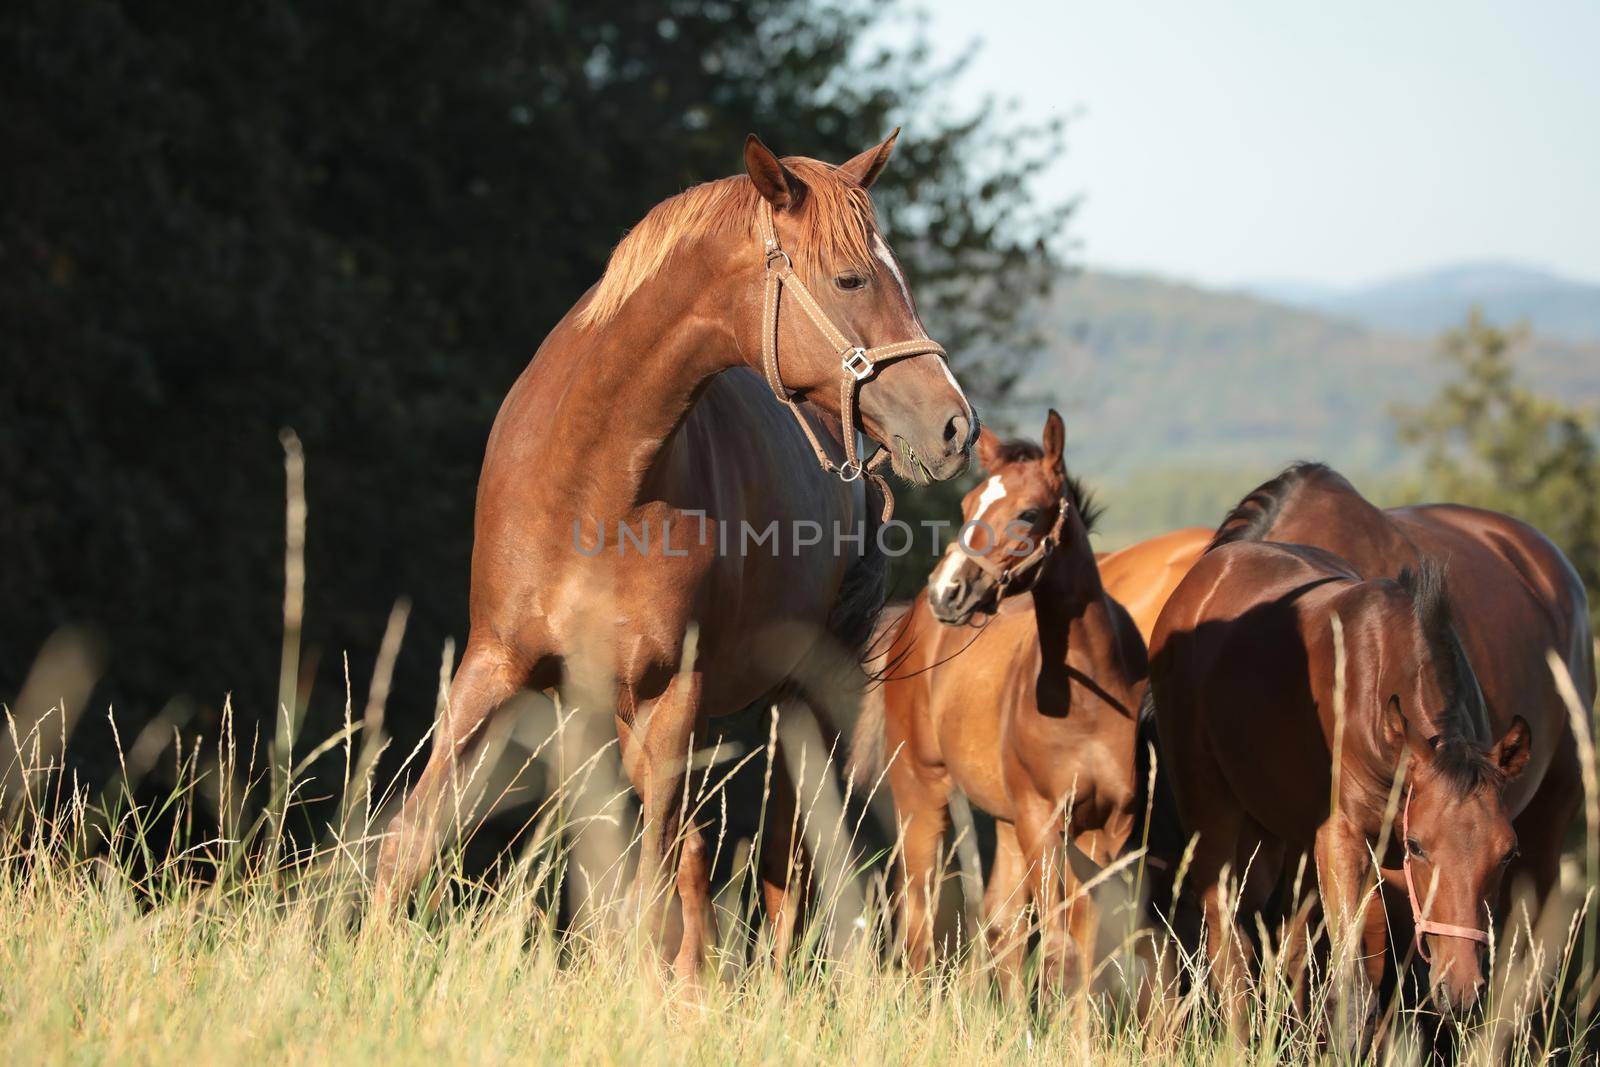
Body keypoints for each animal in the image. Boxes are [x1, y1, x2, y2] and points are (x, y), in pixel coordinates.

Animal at [372, 133, 972, 985]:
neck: (593, 479)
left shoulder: (673, 689)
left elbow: (656, 888)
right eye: (851, 277)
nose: (957, 424)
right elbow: (413, 837)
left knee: (783, 866)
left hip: (797, 700)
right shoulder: (500, 665)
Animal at [851, 415, 1152, 991]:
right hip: (923, 791)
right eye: (969, 504)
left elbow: (1086, 947)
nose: (947, 592)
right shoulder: (1043, 818)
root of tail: (908, 623)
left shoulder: (1109, 828)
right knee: (921, 918)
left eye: (1029, 513)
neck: (1087, 702)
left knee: (1001, 923)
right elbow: (1060, 948)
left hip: (1010, 822)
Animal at [1152, 543, 1536, 1023]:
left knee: (1281, 948)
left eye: (1508, 853)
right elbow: (1354, 991)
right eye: (1417, 847)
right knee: (1229, 945)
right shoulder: (1344, 839)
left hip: (1277, 837)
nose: (1463, 987)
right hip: (1211, 808)